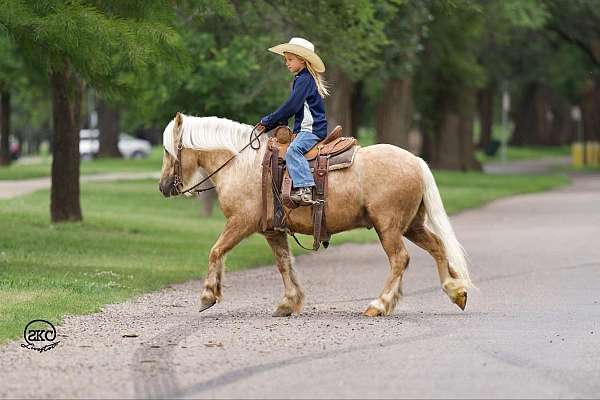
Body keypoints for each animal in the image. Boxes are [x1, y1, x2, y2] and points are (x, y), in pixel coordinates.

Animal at [159, 111, 474, 316]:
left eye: (168, 150)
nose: (163, 186)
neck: (241, 164)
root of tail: (416, 161)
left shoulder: (240, 223)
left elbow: (215, 250)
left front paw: (207, 295)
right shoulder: (272, 231)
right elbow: (284, 264)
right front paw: (288, 303)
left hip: (389, 227)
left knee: (400, 259)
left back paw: (379, 305)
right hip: (412, 226)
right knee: (437, 247)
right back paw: (455, 291)